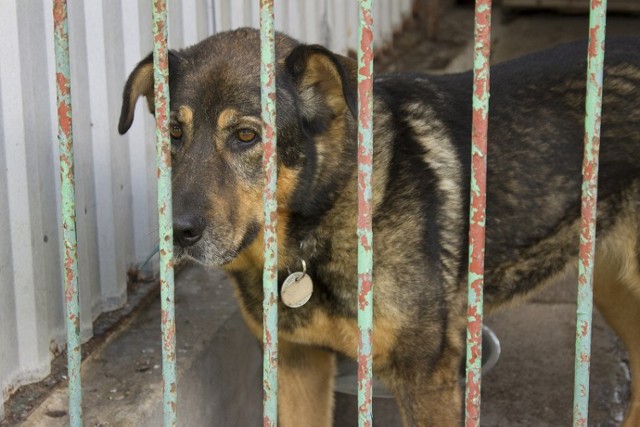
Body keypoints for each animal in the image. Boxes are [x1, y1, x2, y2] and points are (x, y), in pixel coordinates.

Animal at [119, 28, 640, 426]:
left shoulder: (426, 375)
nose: (176, 233)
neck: (322, 217)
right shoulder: (298, 364)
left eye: (246, 135)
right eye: (173, 133)